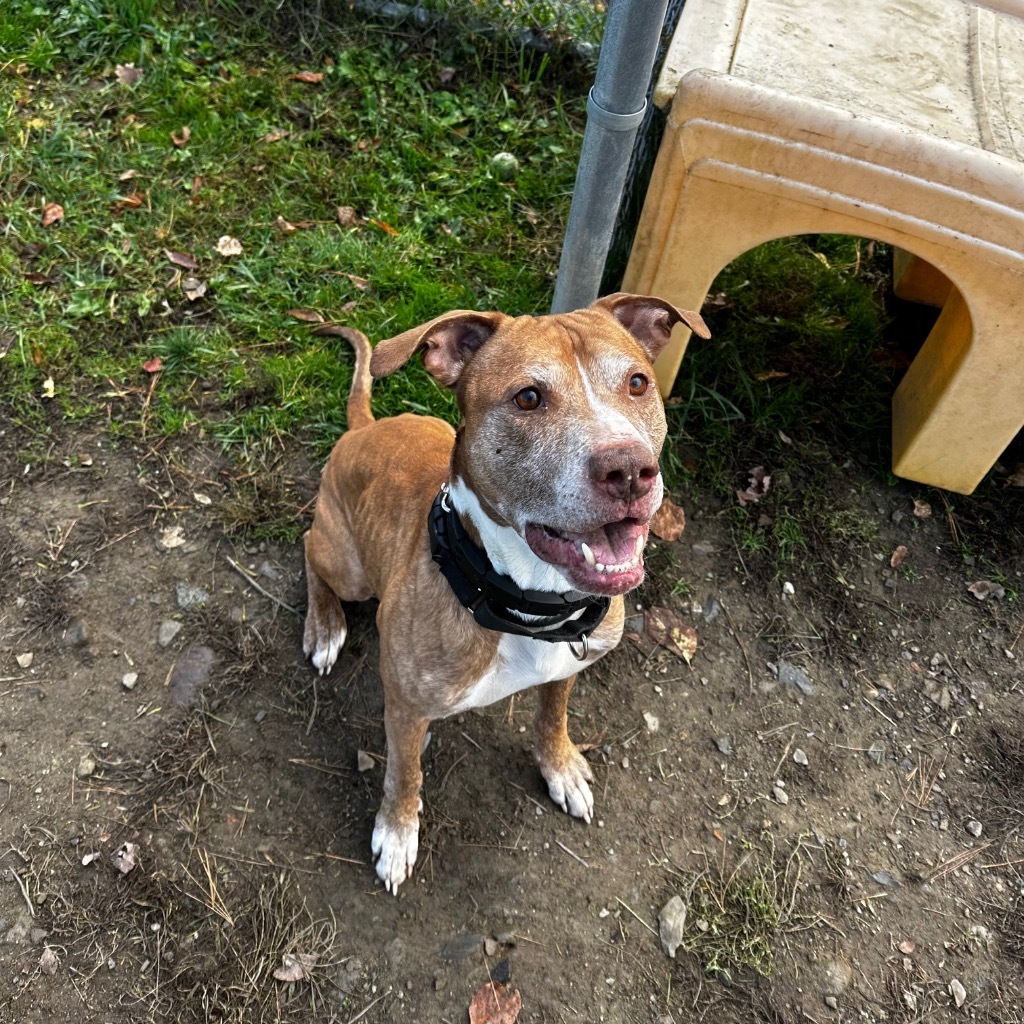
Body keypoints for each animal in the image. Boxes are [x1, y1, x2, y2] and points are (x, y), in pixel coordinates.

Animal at [299, 292, 708, 892]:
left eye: (637, 383)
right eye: (528, 397)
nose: (631, 470)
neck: (525, 600)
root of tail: (361, 430)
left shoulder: (567, 666)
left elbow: (552, 717)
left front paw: (560, 767)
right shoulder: (404, 705)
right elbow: (403, 773)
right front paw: (397, 833)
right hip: (347, 564)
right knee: (310, 549)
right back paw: (325, 626)